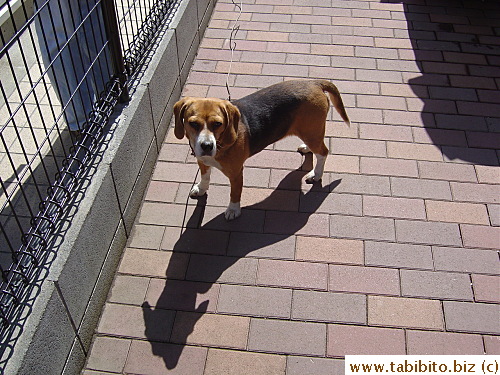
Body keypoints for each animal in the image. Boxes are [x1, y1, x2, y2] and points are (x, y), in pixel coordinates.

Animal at [174, 79, 350, 220]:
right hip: (310, 132)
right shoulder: (202, 161)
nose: (206, 146)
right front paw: (201, 189)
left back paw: (316, 174)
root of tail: (314, 82)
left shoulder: (236, 173)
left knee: (323, 152)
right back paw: (307, 149)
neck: (220, 142)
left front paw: (233, 209)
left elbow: (235, 193)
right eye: (193, 123)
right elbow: (205, 177)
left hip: (312, 131)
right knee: (316, 148)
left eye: (218, 124)